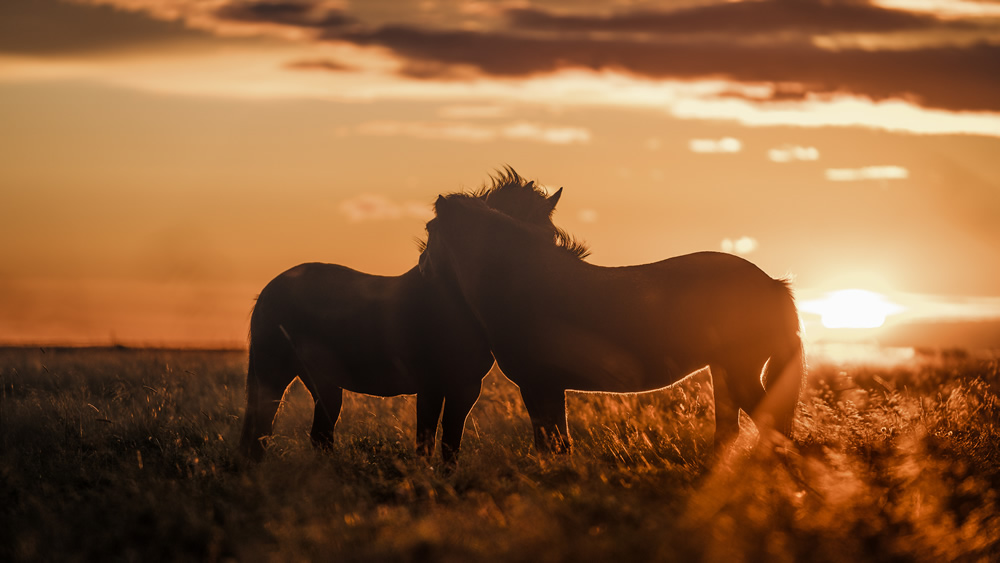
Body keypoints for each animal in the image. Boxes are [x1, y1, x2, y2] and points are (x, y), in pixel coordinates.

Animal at [234, 170, 564, 464]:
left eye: (549, 235)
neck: (450, 305)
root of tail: (269, 289)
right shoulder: (431, 386)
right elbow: (426, 442)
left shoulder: (466, 388)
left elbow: (451, 445)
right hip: (273, 374)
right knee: (261, 433)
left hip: (323, 383)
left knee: (317, 436)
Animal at [420, 178, 804, 456]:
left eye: (428, 229)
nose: (422, 268)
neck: (523, 281)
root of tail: (772, 284)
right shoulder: (549, 386)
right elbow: (559, 444)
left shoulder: (537, 384)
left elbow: (550, 446)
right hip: (723, 373)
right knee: (730, 433)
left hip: (740, 373)